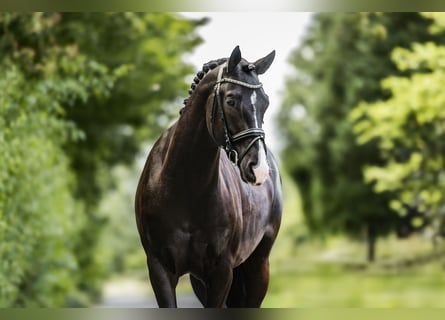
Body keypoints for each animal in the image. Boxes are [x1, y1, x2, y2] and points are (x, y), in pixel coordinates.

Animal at [134, 47, 280, 308]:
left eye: (266, 102)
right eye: (231, 100)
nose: (259, 169)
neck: (184, 187)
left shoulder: (221, 272)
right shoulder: (160, 269)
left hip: (258, 265)